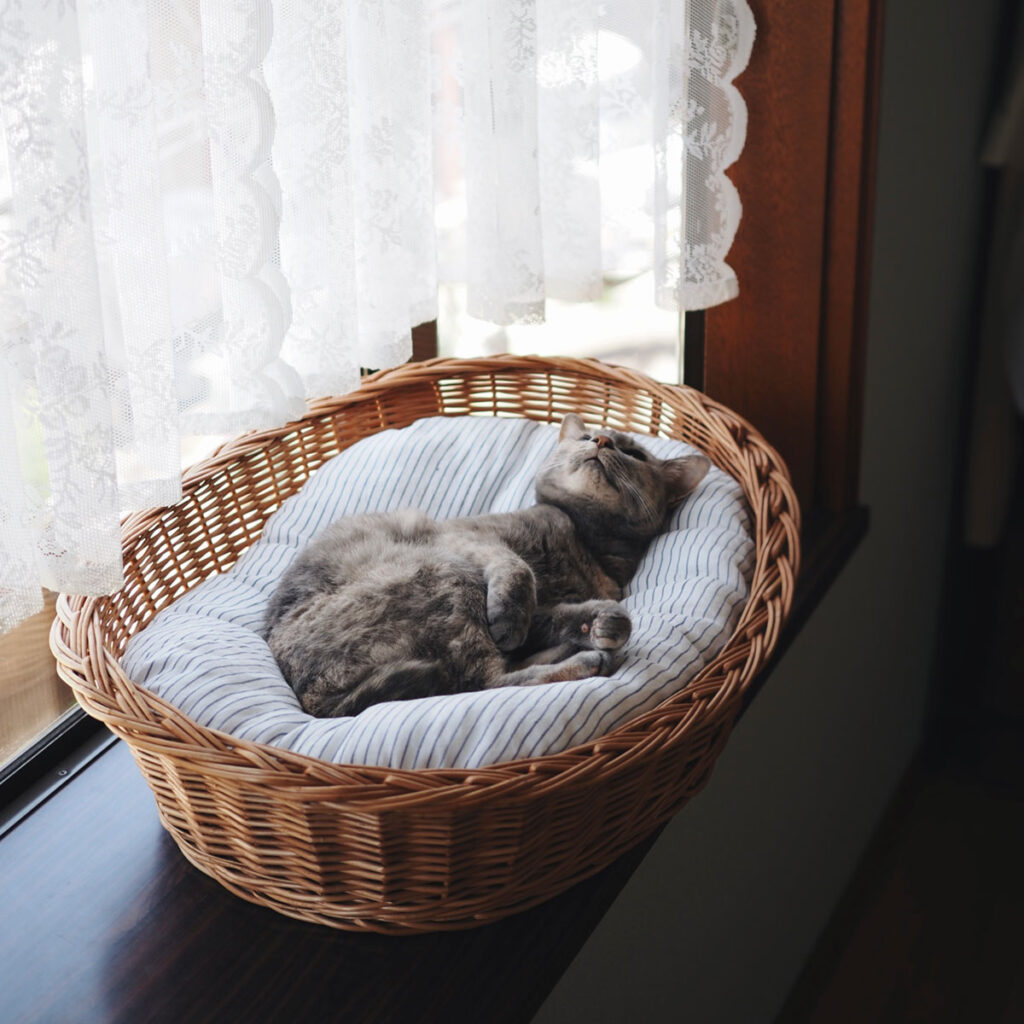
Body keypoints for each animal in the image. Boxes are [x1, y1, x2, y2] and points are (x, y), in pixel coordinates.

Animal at [262, 411, 712, 716]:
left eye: (633, 452)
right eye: (586, 435)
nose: (601, 439)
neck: (585, 540)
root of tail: (311, 698)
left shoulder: (551, 603)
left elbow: (550, 616)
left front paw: (596, 623)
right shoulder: (468, 539)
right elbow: (518, 572)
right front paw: (523, 622)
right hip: (445, 576)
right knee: (482, 683)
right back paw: (587, 658)